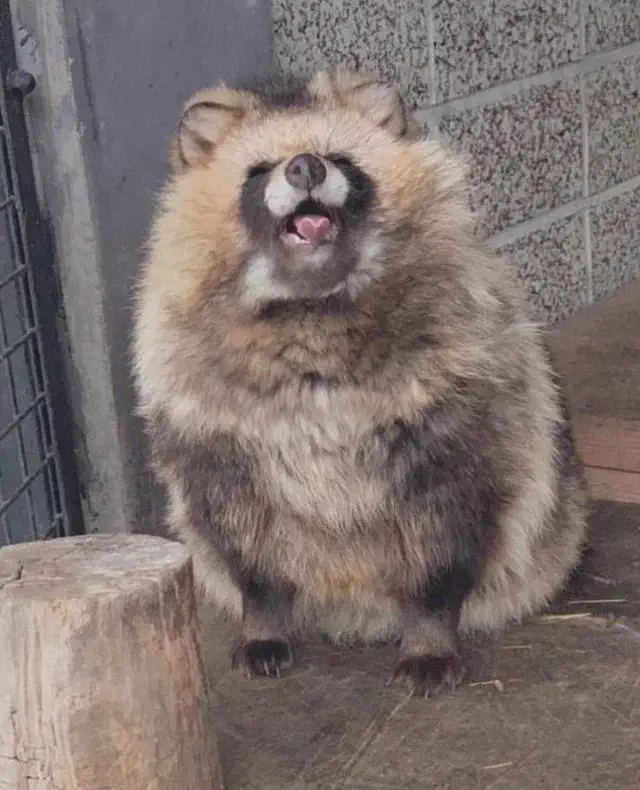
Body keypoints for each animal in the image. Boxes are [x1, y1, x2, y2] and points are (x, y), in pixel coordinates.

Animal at [133, 70, 588, 696]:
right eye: (257, 170)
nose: (305, 168)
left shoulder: (456, 425)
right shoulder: (211, 440)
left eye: (340, 159)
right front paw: (263, 620)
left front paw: (429, 634)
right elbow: (247, 549)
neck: (311, 308)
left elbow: (444, 541)